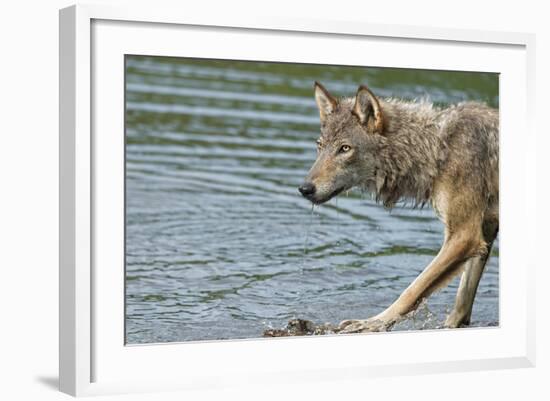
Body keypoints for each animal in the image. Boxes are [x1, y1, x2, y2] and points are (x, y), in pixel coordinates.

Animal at [300, 81, 502, 332]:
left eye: (344, 149)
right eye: (320, 146)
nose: (305, 188)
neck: (437, 149)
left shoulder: (464, 236)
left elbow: (412, 289)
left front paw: (371, 323)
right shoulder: (485, 231)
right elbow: (462, 301)